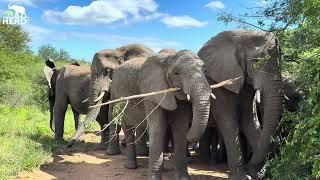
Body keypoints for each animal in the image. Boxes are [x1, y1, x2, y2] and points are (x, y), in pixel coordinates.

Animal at [107, 49, 212, 180]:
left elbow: (180, 128)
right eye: (176, 73)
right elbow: (158, 128)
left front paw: (183, 178)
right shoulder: (151, 91)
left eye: (204, 70)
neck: (168, 58)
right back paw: (130, 167)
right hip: (116, 96)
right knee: (126, 127)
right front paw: (153, 179)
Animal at [199, 29, 284, 179]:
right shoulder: (218, 81)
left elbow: (249, 120)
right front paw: (242, 176)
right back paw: (202, 162)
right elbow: (229, 122)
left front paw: (258, 172)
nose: (253, 168)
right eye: (256, 62)